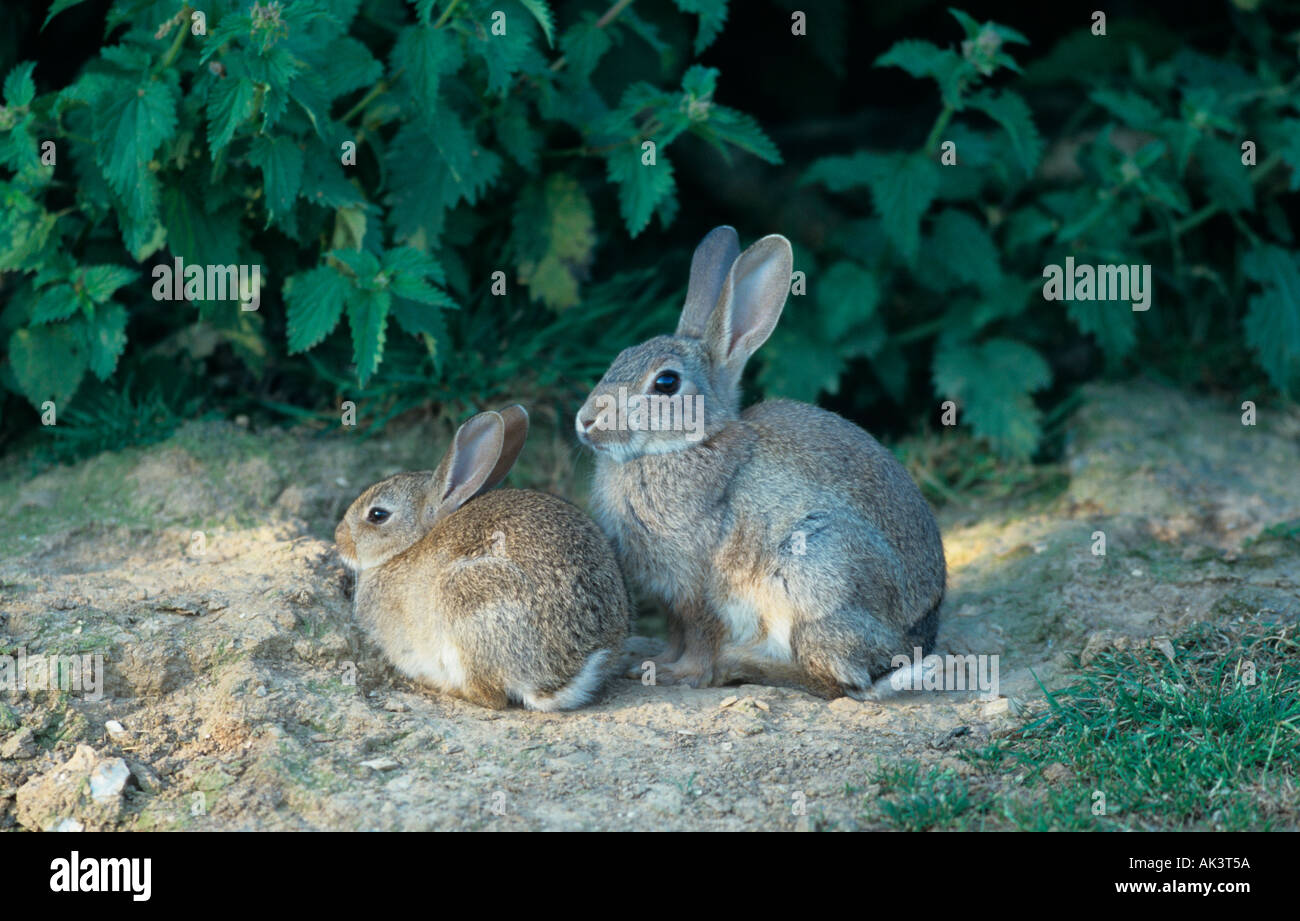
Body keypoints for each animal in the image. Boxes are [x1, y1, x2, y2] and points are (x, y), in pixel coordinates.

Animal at [335, 405, 629, 712]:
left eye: (377, 515)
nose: (338, 537)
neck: (408, 546)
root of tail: (570, 671)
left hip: (464, 604)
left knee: (490, 696)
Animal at [577, 228, 946, 697]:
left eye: (666, 383)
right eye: (622, 356)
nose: (585, 421)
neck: (689, 445)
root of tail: (913, 641)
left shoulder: (700, 587)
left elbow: (699, 638)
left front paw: (680, 675)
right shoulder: (670, 596)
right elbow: (676, 634)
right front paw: (654, 663)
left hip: (814, 571)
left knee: (836, 679)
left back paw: (740, 665)